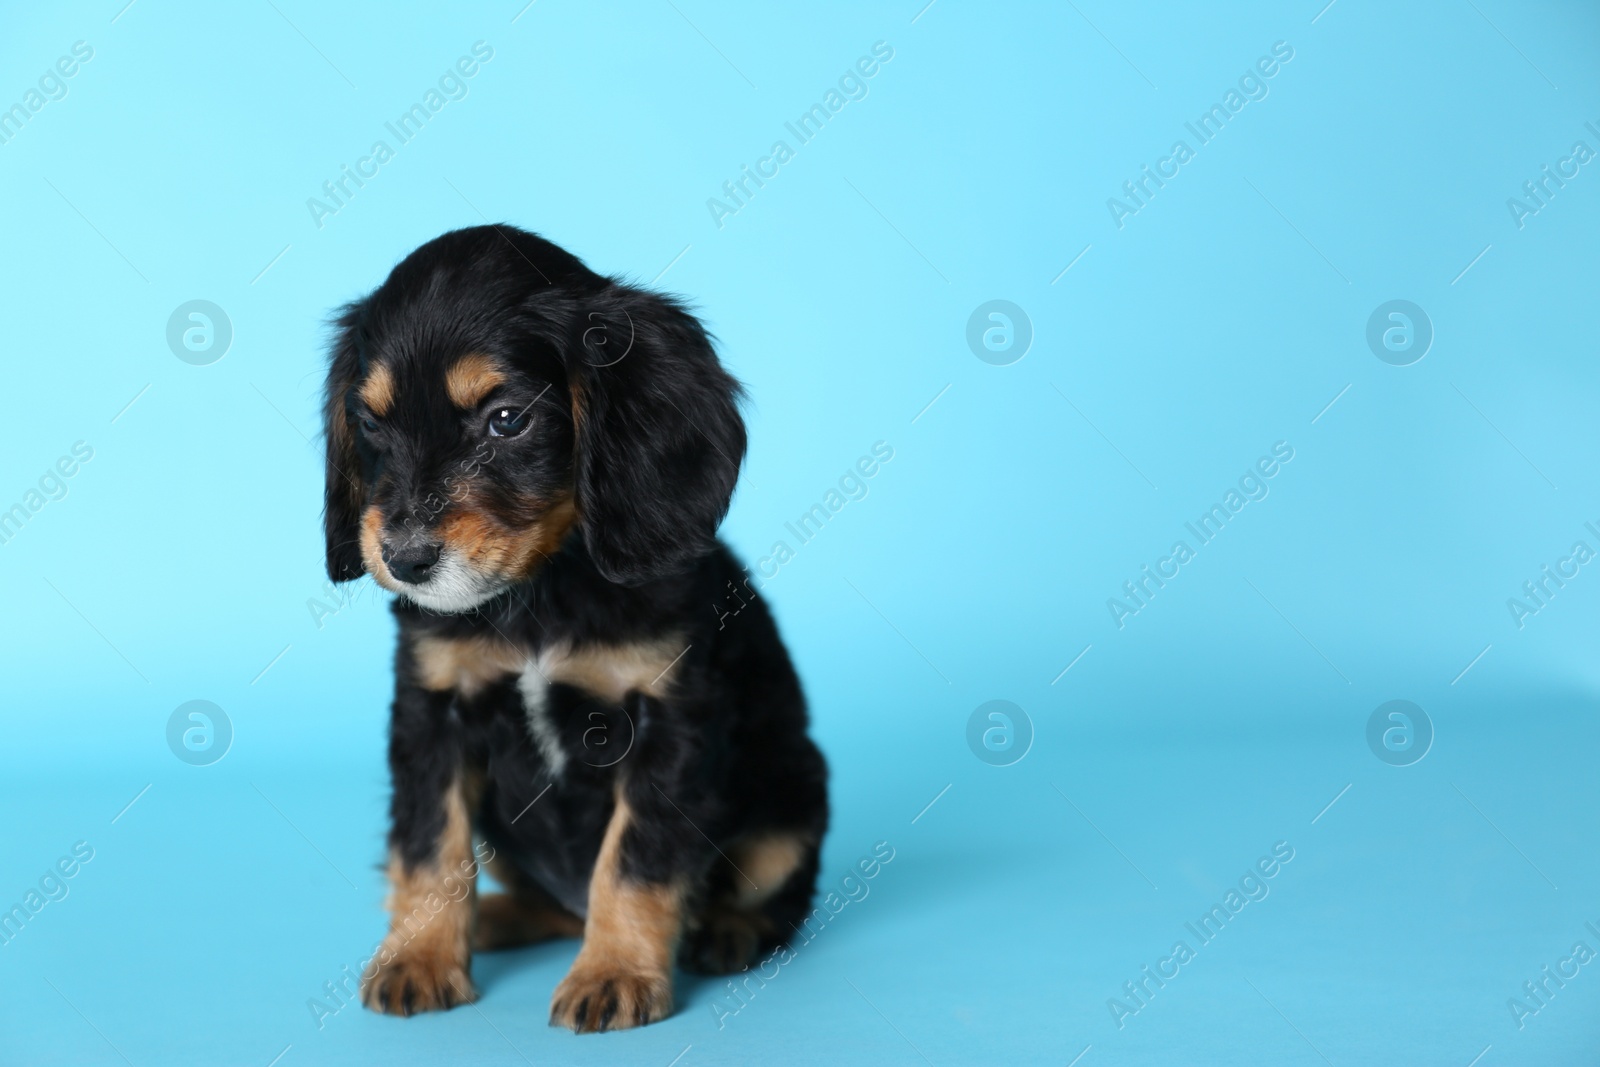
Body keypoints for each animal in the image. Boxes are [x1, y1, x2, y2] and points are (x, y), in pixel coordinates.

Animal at [320, 227, 832, 1036]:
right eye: (370, 423)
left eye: (506, 419)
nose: (404, 560)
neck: (540, 592)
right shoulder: (432, 713)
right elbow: (431, 847)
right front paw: (420, 957)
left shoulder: (669, 720)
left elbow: (633, 859)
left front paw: (615, 972)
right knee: (547, 901)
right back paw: (496, 919)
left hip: (792, 801)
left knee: (773, 896)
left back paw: (727, 931)